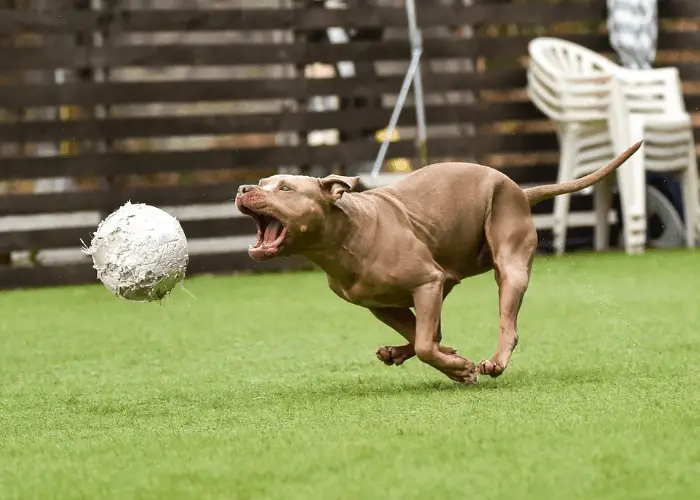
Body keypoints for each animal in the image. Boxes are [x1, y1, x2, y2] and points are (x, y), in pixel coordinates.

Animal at [238, 141, 644, 382]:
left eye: (286, 188)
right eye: (262, 181)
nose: (243, 188)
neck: (344, 237)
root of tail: (520, 190)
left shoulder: (427, 282)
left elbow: (424, 344)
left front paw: (461, 370)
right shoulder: (382, 302)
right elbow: (424, 336)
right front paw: (450, 360)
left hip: (508, 265)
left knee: (506, 325)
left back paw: (492, 362)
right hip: (452, 276)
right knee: (433, 333)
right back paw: (404, 352)